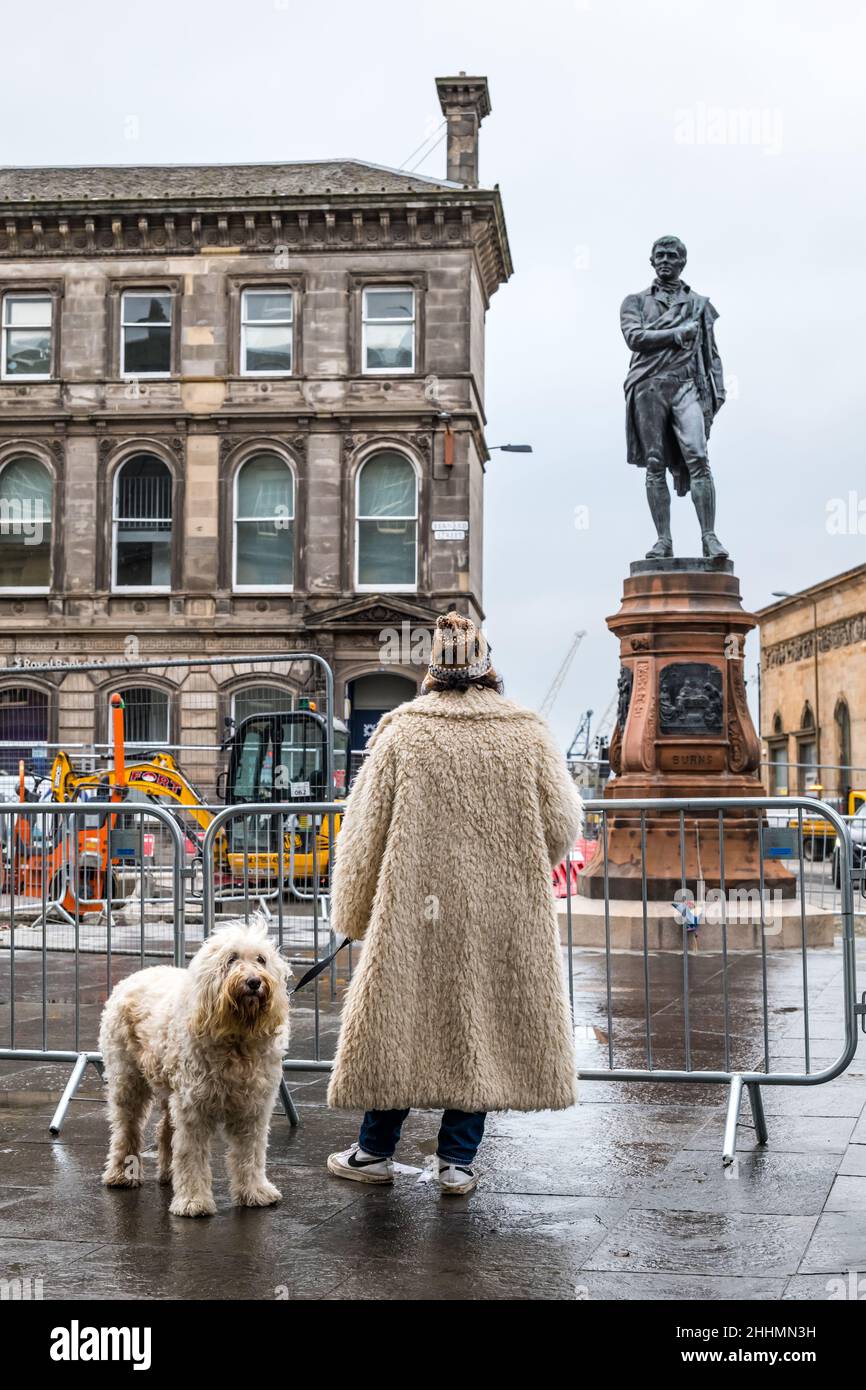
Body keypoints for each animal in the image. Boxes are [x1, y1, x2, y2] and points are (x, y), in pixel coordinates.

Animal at [99, 922, 291, 1217]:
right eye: (231, 959)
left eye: (261, 959)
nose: (254, 982)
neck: (236, 1038)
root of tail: (137, 974)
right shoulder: (194, 1109)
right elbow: (191, 1155)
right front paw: (193, 1201)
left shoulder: (254, 1109)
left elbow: (251, 1153)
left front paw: (255, 1192)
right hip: (127, 1079)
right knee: (125, 1128)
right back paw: (121, 1174)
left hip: (169, 1087)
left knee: (165, 1129)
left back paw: (167, 1173)